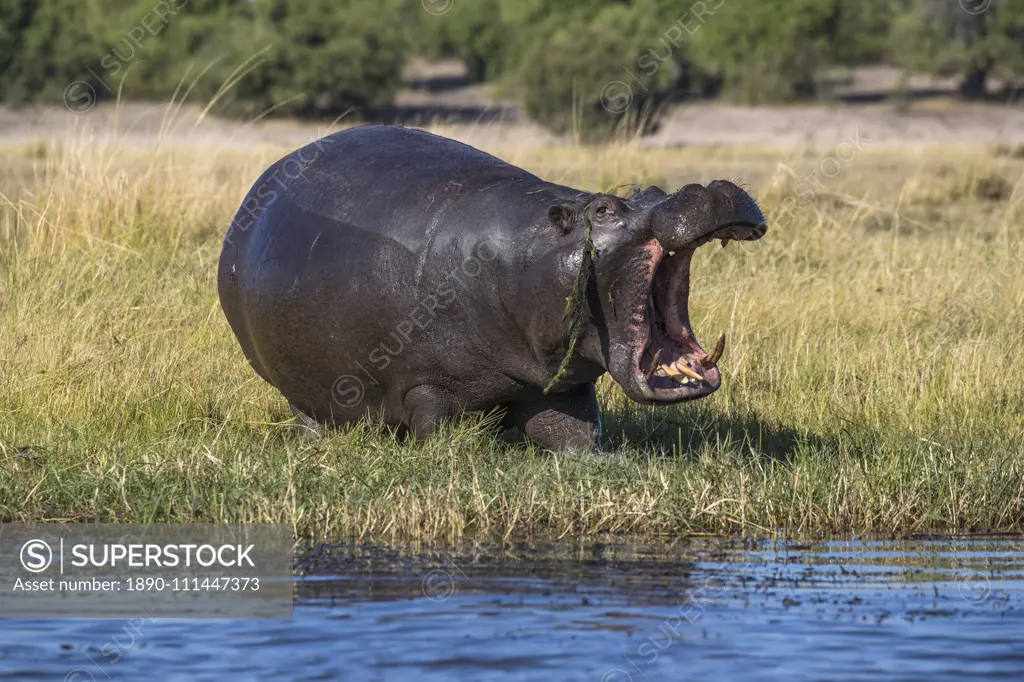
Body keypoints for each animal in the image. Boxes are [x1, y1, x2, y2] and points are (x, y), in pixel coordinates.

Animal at [220, 124, 765, 448]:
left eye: (651, 190)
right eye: (605, 208)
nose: (706, 188)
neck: (528, 255)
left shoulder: (559, 386)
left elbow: (573, 434)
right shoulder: (426, 384)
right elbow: (437, 429)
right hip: (298, 388)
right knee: (311, 415)